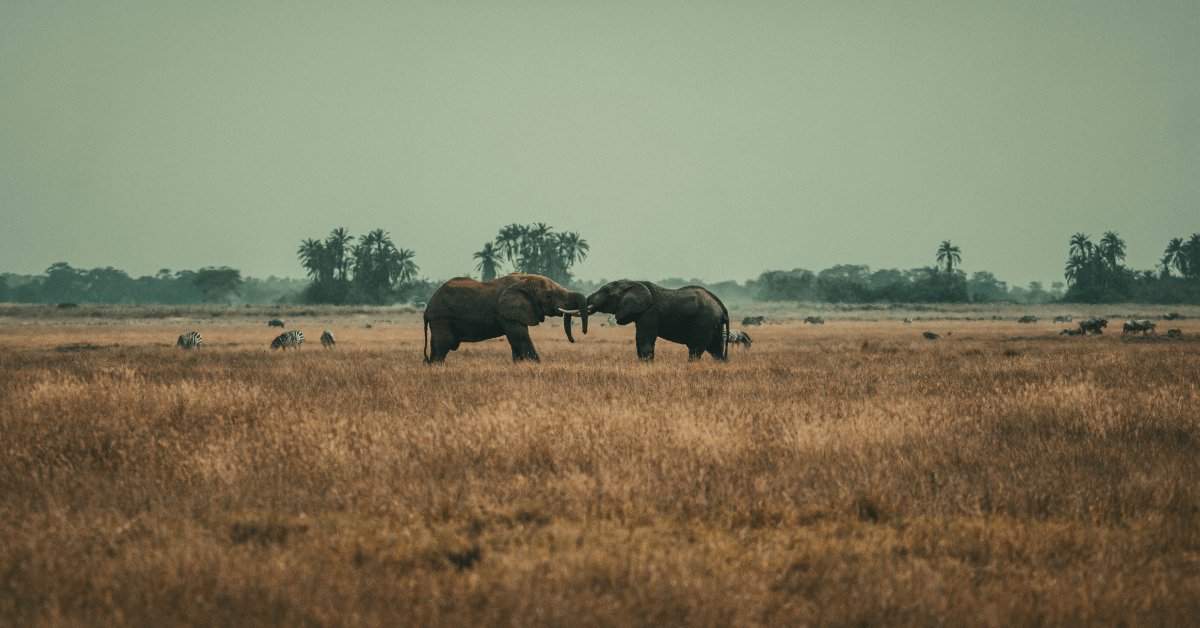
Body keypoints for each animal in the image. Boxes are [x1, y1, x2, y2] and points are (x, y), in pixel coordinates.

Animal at [423, 273, 588, 363]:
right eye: (548, 296)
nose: (581, 334)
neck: (525, 279)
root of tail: (427, 309)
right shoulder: (506, 312)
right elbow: (520, 337)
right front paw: (538, 365)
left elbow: (515, 340)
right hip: (441, 318)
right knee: (443, 344)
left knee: (436, 345)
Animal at [586, 280, 728, 361]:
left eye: (606, 291)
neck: (632, 282)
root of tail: (722, 307)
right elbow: (639, 340)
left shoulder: (649, 312)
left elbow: (644, 340)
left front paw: (647, 364)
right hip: (714, 325)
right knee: (716, 350)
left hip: (704, 322)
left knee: (695, 350)